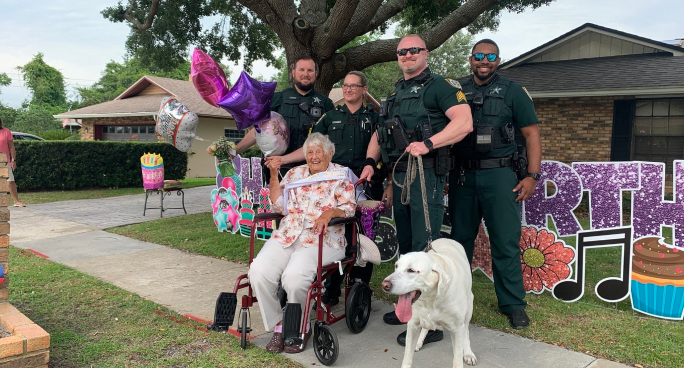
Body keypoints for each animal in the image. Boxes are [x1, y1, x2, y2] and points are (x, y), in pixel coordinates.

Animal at [382, 239, 478, 368]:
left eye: (411, 270)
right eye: (396, 266)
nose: (384, 285)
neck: (431, 300)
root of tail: (447, 239)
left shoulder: (457, 330)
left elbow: (457, 360)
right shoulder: (412, 325)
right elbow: (407, 358)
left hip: (469, 307)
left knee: (466, 330)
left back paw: (468, 353)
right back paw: (419, 342)